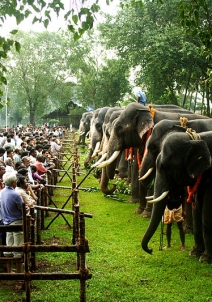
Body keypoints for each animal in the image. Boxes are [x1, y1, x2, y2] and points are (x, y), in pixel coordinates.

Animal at [141, 131, 212, 264]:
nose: (151, 250)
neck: (195, 139)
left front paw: (205, 259)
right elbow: (196, 210)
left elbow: (207, 214)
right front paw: (194, 253)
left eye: (166, 168)